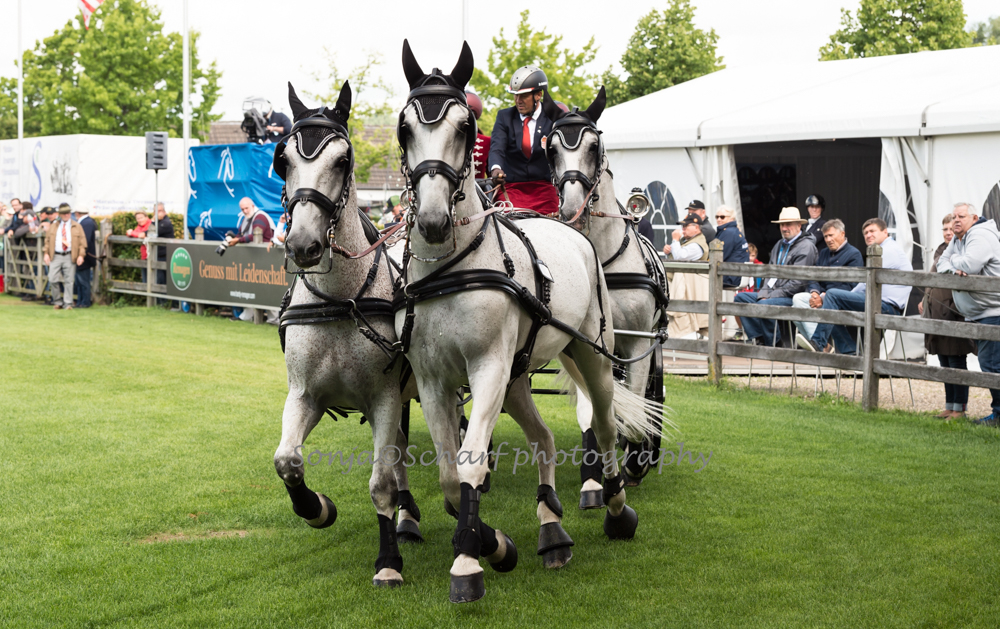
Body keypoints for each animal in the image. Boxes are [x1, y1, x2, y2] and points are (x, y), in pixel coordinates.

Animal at [271, 80, 422, 589]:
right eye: (283, 160)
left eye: (342, 160)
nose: (302, 245)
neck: (341, 301)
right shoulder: (305, 395)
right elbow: (287, 460)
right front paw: (316, 508)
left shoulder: (383, 398)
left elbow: (380, 481)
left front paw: (388, 560)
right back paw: (408, 515)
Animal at [395, 40, 657, 603]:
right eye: (405, 128)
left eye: (465, 127)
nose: (432, 220)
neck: (451, 272)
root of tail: (576, 233)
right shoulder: (432, 379)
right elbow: (449, 474)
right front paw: (492, 544)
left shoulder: (487, 368)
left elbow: (471, 460)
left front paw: (469, 563)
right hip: (516, 378)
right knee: (544, 438)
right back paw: (551, 529)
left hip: (593, 355)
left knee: (605, 424)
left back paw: (614, 506)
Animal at [540, 91, 674, 493]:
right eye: (551, 148)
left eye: (594, 146)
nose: (572, 208)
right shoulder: (584, 343)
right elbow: (595, 410)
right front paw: (595, 473)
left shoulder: (638, 342)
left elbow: (635, 404)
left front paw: (635, 459)